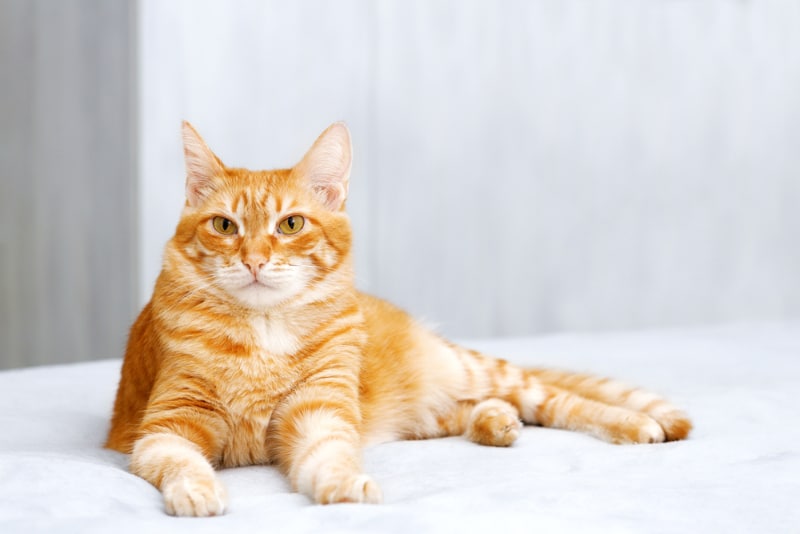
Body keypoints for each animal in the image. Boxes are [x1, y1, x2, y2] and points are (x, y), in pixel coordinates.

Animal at [106, 120, 692, 516]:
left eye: (291, 224)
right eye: (224, 226)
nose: (252, 260)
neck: (264, 331)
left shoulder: (320, 411)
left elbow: (330, 457)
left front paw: (344, 489)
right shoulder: (167, 427)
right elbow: (182, 463)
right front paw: (200, 490)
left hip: (472, 370)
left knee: (558, 400)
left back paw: (637, 424)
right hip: (423, 410)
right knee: (470, 411)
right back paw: (496, 422)